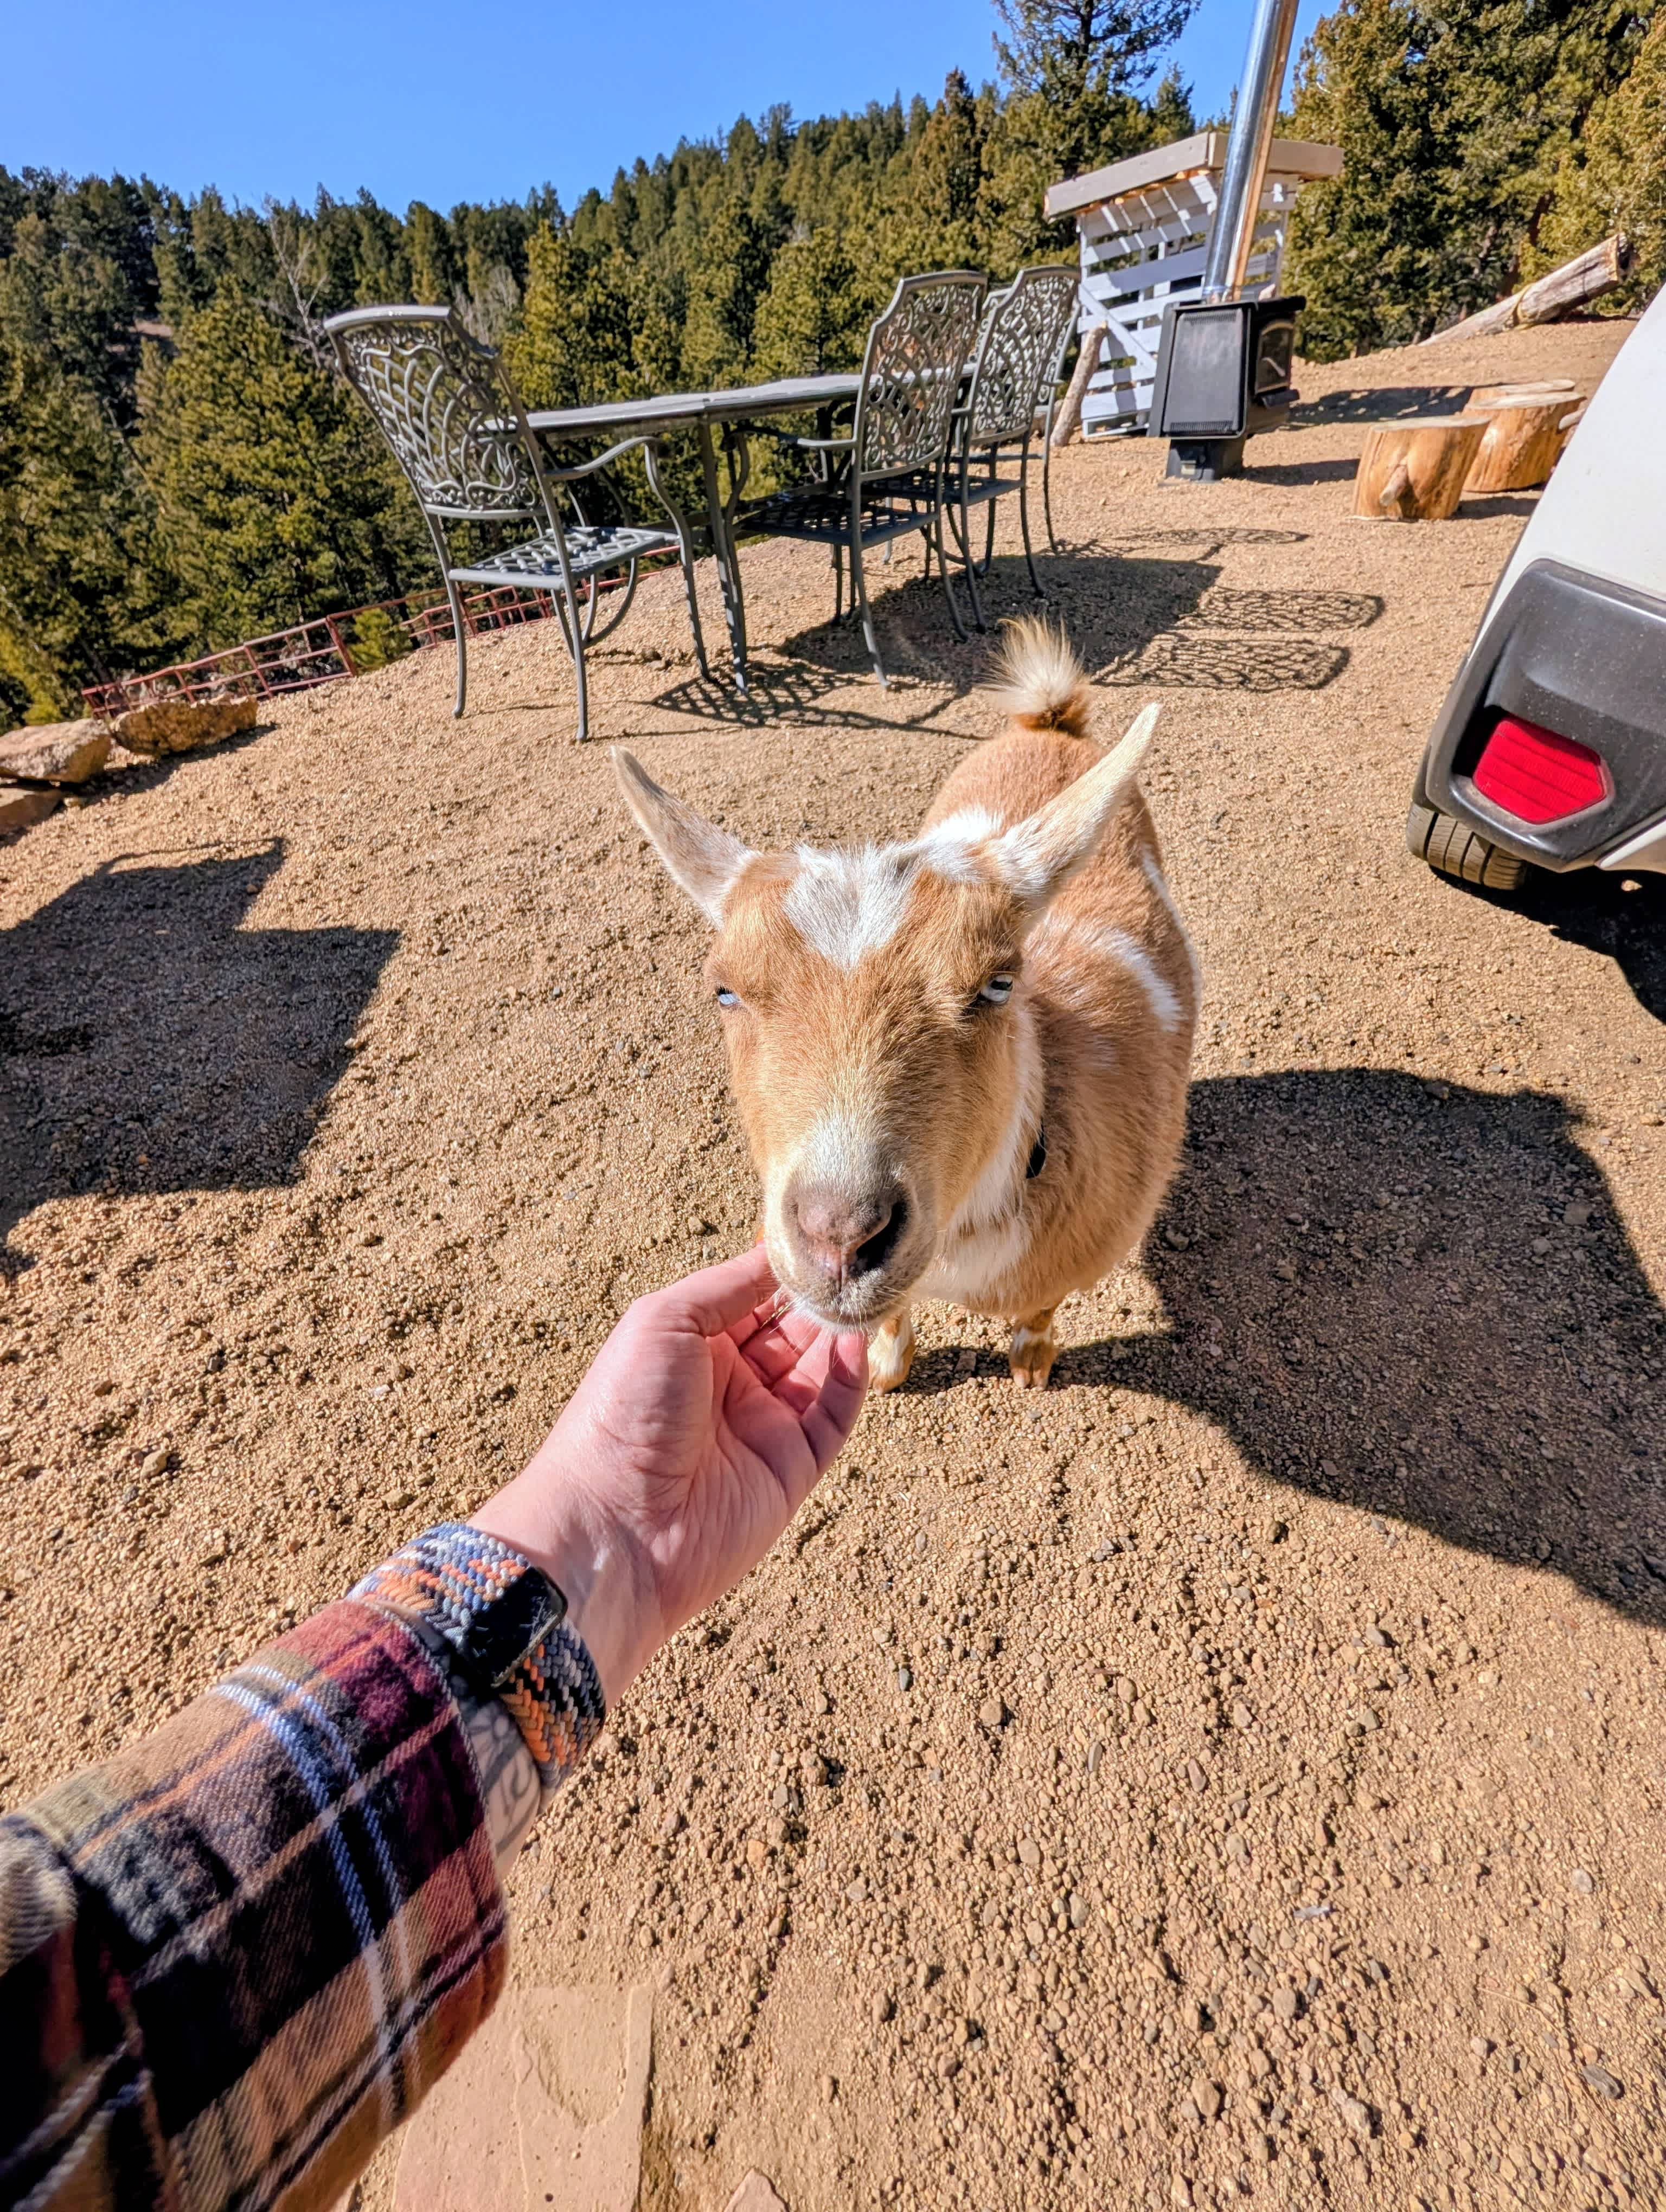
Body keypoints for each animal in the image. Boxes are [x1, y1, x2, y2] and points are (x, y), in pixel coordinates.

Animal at [614, 619, 1198, 1389]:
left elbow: (1041, 1307)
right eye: (724, 990)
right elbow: (892, 1320)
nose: (840, 1236)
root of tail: (1051, 724)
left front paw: (1032, 1361)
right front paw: (886, 1367)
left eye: (997, 984)